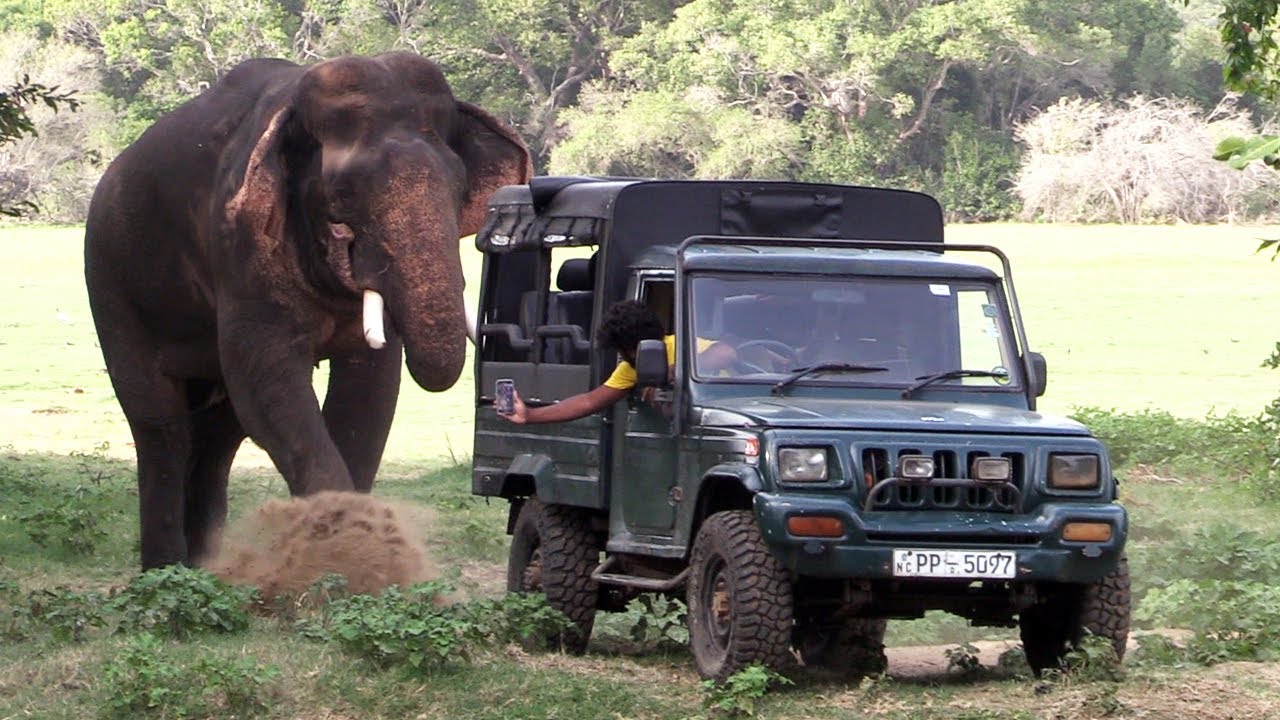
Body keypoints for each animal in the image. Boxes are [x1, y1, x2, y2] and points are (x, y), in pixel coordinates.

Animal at [84, 52, 532, 570]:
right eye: (344, 194)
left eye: (460, 188)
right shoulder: (242, 244)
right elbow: (269, 384)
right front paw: (343, 559)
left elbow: (369, 391)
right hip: (112, 286)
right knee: (161, 425)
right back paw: (166, 573)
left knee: (219, 434)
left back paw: (207, 569)